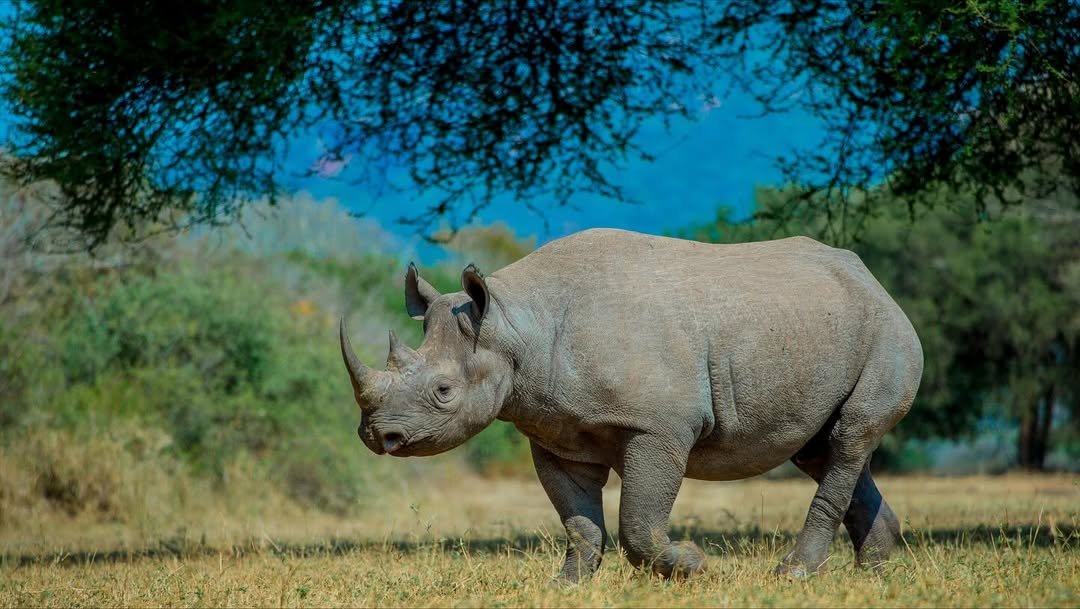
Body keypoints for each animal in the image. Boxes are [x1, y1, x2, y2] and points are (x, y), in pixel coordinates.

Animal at [340, 229, 923, 581]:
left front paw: (695, 566)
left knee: (847, 440)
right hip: (832, 331)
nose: (378, 437)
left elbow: (637, 523)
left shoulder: (659, 426)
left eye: (443, 392)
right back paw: (875, 572)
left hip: (886, 332)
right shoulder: (556, 432)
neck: (515, 326)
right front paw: (568, 585)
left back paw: (794, 574)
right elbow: (578, 521)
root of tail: (874, 281)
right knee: (821, 448)